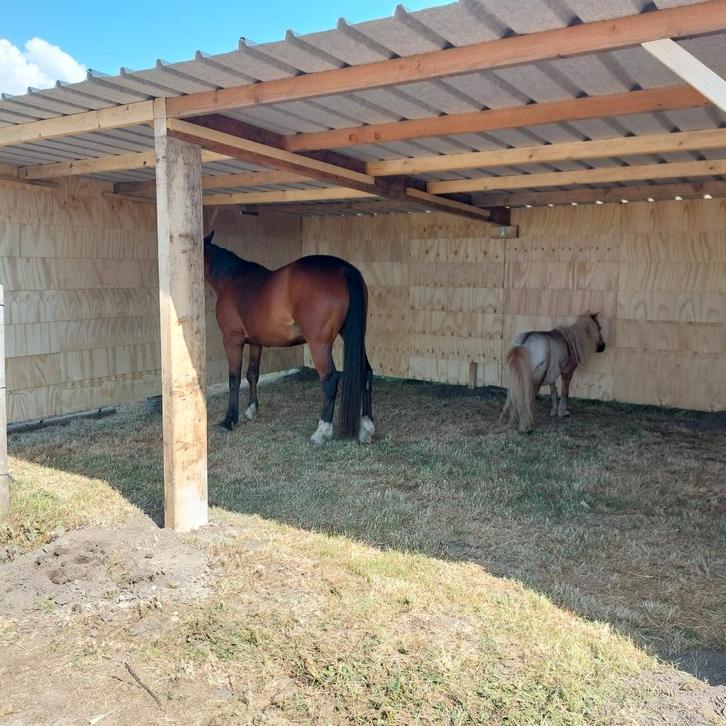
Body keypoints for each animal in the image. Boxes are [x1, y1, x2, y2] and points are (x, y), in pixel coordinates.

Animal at [202, 231, 374, 445]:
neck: (231, 279)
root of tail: (344, 270)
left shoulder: (232, 340)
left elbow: (234, 380)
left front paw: (228, 421)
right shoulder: (256, 342)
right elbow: (252, 374)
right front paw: (251, 410)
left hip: (319, 344)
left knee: (330, 380)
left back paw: (322, 432)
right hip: (356, 337)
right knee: (366, 373)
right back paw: (366, 427)